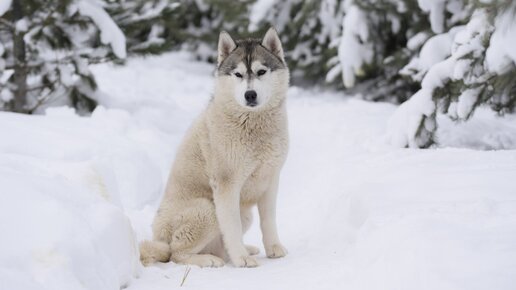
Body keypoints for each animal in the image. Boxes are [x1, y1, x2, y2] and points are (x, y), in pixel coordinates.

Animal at [139, 27, 288, 268]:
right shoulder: (227, 186)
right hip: (207, 209)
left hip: (244, 214)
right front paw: (241, 259)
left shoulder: (270, 180)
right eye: (238, 74)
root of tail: (158, 238)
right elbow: (232, 228)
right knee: (175, 254)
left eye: (261, 71)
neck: (253, 126)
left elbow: (269, 221)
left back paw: (241, 250)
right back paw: (210, 259)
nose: (250, 94)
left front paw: (273, 249)